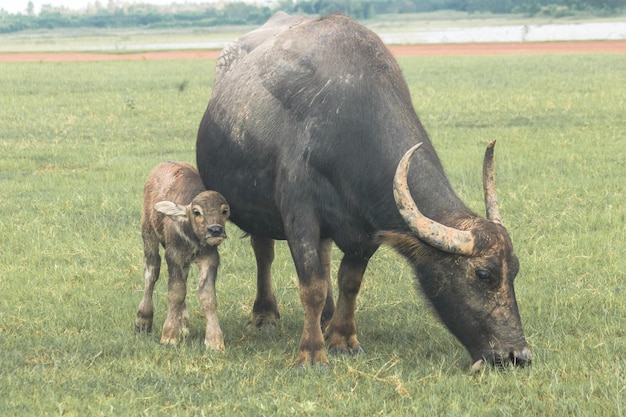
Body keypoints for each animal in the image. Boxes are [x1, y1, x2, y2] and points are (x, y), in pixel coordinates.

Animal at [133, 161, 229, 350]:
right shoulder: (174, 256)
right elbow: (176, 292)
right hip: (148, 234)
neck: (193, 237)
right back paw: (143, 321)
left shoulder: (209, 258)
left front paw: (214, 341)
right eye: (197, 212)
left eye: (224, 211)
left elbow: (207, 297)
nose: (215, 230)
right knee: (151, 272)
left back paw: (183, 325)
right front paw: (169, 336)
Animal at [195, 11, 528, 368]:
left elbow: (349, 282)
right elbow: (311, 286)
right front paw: (312, 352)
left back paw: (327, 317)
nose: (517, 355)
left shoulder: (367, 227)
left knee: (325, 257)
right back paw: (265, 314)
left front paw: (343, 339)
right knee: (264, 252)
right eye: (483, 274)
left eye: (515, 270)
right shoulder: (300, 217)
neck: (345, 126)